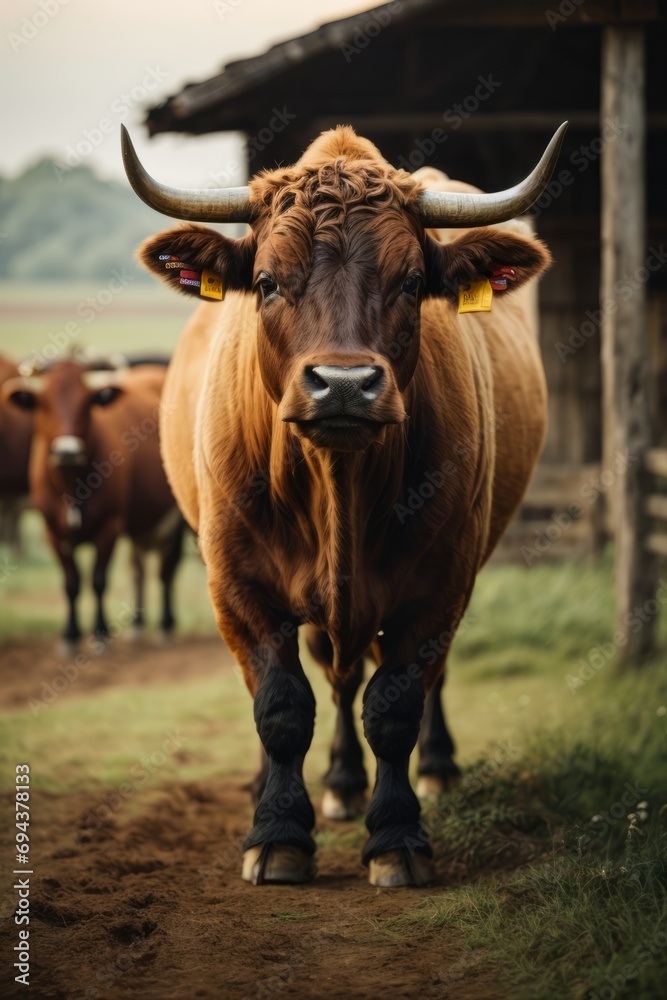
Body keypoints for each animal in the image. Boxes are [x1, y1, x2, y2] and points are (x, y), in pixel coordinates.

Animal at [3, 360, 185, 648]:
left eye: (86, 402)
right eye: (45, 403)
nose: (67, 451)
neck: (73, 487)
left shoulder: (109, 527)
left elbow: (98, 580)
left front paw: (100, 633)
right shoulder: (53, 532)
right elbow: (71, 583)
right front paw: (71, 634)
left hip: (175, 520)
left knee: (166, 570)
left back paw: (165, 625)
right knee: (138, 570)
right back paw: (137, 623)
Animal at [124, 123, 564, 884]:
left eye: (412, 283)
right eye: (266, 282)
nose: (344, 385)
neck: (337, 486)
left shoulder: (439, 583)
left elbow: (394, 705)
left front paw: (397, 839)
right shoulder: (237, 584)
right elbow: (281, 707)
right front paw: (277, 833)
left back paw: (428, 770)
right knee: (332, 674)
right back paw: (329, 784)